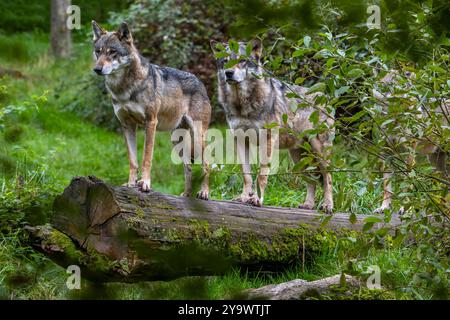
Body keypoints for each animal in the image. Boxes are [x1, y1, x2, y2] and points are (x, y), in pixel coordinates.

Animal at [92, 21, 213, 198]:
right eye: (98, 51)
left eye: (112, 52)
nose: (97, 69)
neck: (124, 88)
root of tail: (200, 82)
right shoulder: (127, 126)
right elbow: (133, 161)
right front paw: (130, 184)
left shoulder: (150, 123)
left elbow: (146, 157)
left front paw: (145, 183)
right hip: (176, 141)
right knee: (188, 167)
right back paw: (185, 196)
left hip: (197, 137)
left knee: (207, 164)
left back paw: (204, 192)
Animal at [211, 40, 334, 214]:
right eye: (225, 61)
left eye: (242, 60)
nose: (229, 73)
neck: (242, 104)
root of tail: (325, 98)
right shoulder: (241, 140)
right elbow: (246, 174)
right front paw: (244, 197)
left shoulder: (267, 139)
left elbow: (262, 174)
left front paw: (257, 199)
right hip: (298, 157)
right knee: (312, 180)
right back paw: (308, 205)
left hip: (319, 150)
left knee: (327, 177)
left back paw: (328, 205)